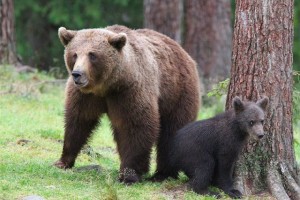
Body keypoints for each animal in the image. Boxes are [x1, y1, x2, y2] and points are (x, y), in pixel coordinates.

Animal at [54, 24, 202, 184]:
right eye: (74, 54)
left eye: (92, 55)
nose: (77, 74)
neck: (106, 86)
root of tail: (184, 53)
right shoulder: (85, 96)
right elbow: (78, 121)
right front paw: (62, 161)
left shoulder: (129, 91)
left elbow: (136, 126)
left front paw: (129, 174)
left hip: (177, 93)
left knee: (172, 132)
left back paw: (163, 174)